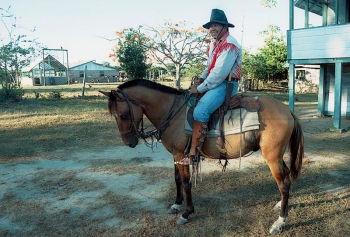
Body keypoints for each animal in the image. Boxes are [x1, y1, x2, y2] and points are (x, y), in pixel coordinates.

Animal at [99, 79, 304, 233]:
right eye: (114, 116)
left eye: (123, 115)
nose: (129, 143)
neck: (172, 112)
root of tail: (287, 111)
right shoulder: (176, 155)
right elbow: (177, 179)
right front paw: (176, 204)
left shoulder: (182, 154)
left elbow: (186, 182)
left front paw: (186, 213)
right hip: (277, 156)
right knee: (286, 178)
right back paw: (280, 205)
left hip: (272, 157)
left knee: (283, 183)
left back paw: (280, 222)